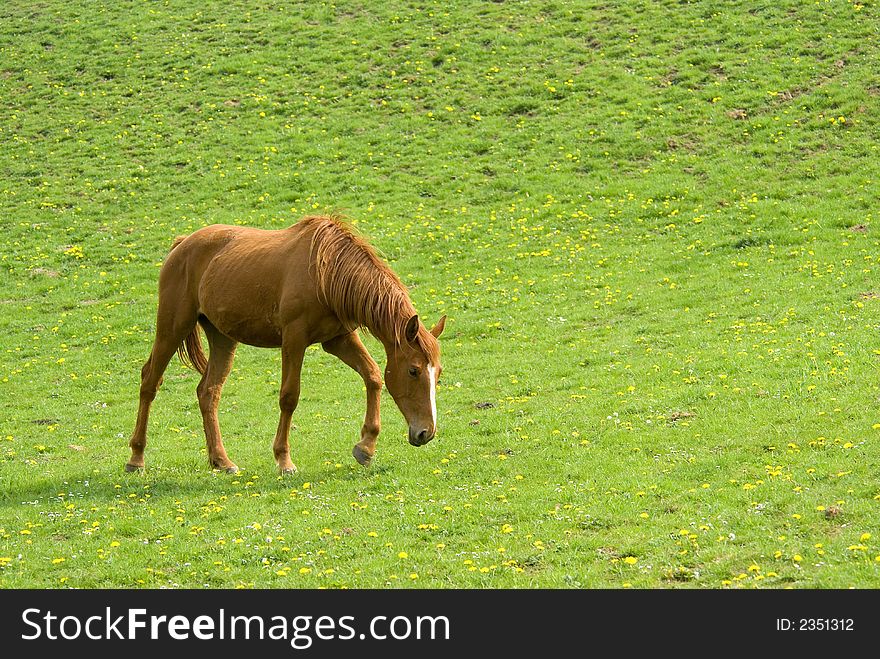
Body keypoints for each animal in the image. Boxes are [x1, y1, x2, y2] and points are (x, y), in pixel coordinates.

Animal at [124, 217, 446, 474]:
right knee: (150, 381)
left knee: (208, 392)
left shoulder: (338, 339)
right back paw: (136, 458)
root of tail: (181, 245)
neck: (326, 271)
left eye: (438, 373)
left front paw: (365, 446)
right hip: (172, 327)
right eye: (414, 371)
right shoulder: (294, 339)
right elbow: (289, 397)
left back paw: (221, 461)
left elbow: (374, 376)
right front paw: (283, 460)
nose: (425, 433)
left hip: (222, 338)